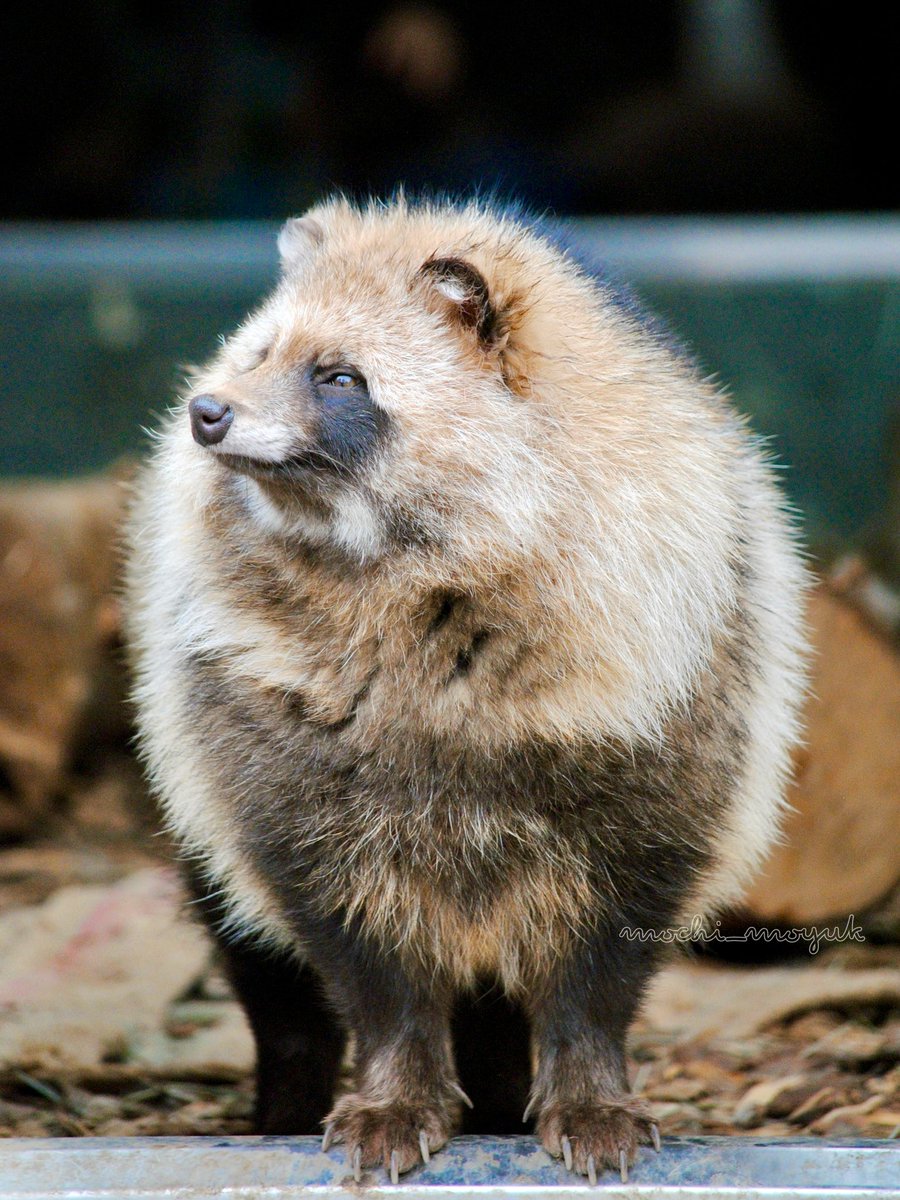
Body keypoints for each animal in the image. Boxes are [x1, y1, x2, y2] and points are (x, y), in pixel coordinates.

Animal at [123, 196, 806, 1180]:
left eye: (339, 377)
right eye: (256, 354)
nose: (205, 411)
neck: (413, 580)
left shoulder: (677, 726)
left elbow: (599, 965)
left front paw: (587, 1085)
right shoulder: (272, 755)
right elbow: (367, 961)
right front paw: (395, 1086)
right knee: (271, 978)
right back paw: (287, 1096)